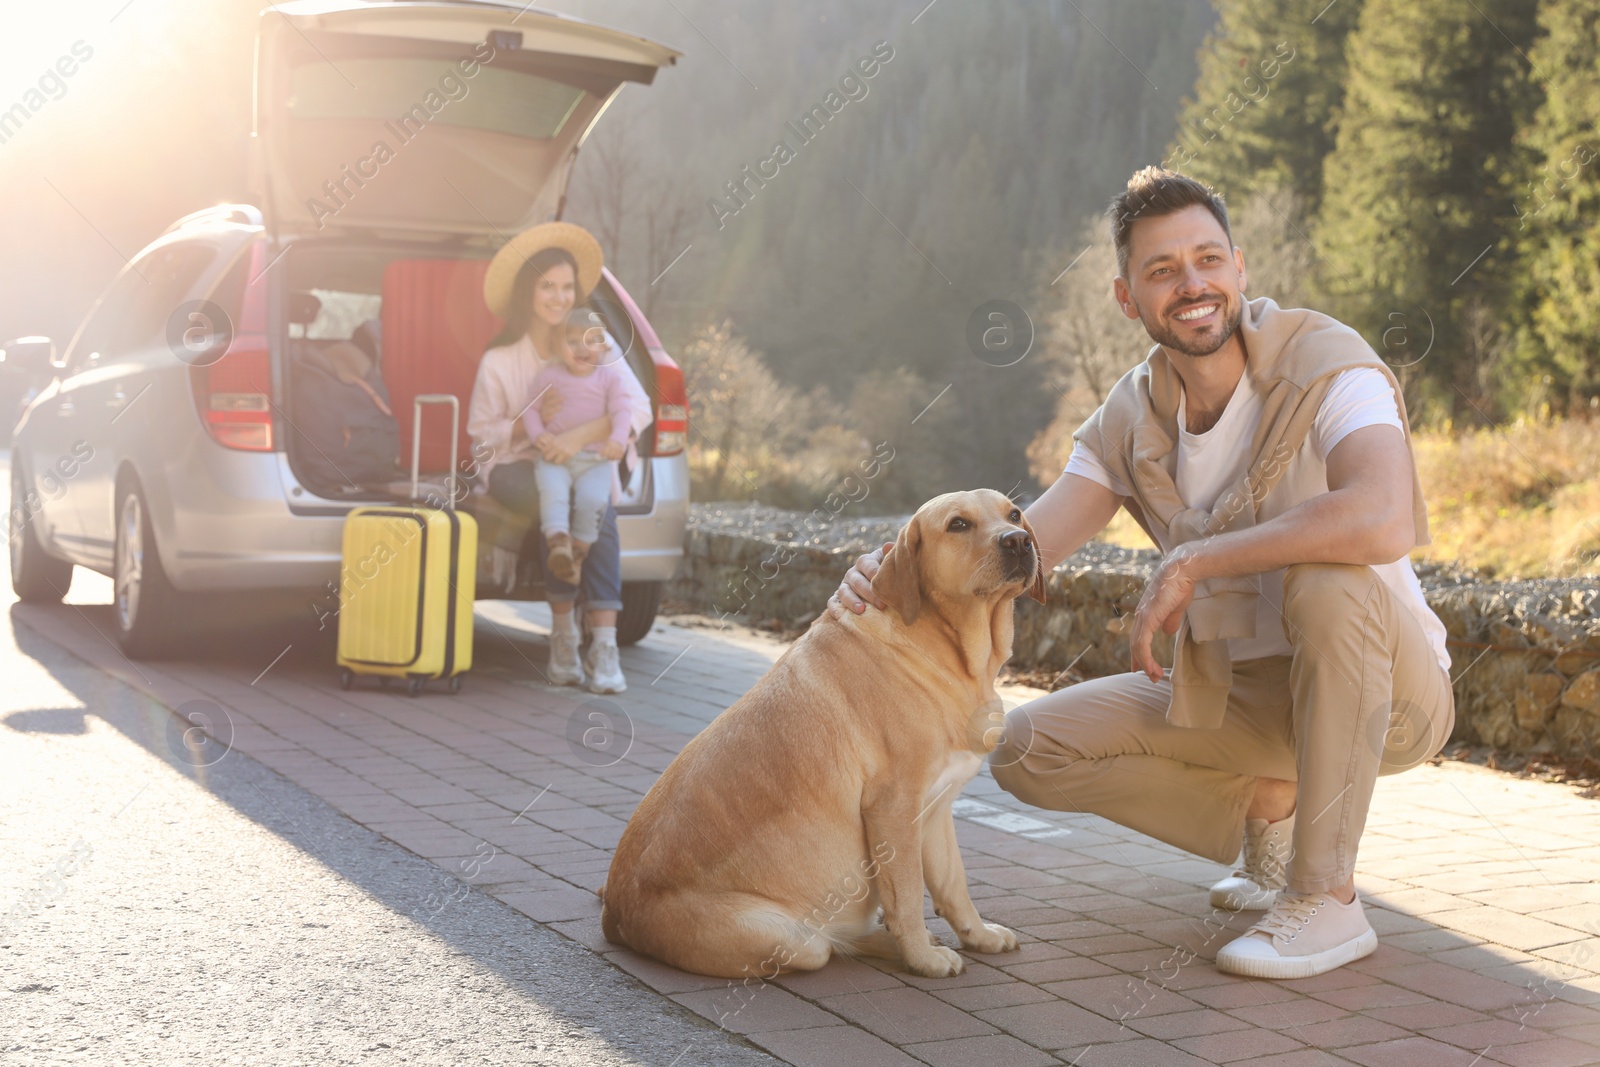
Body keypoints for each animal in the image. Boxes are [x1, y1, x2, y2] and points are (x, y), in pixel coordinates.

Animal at [604, 489, 1043, 979]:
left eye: (1014, 513)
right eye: (958, 525)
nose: (1018, 540)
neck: (949, 652)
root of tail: (613, 914)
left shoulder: (936, 808)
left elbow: (954, 885)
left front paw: (977, 935)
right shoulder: (894, 808)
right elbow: (909, 894)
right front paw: (922, 959)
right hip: (791, 938)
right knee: (827, 946)